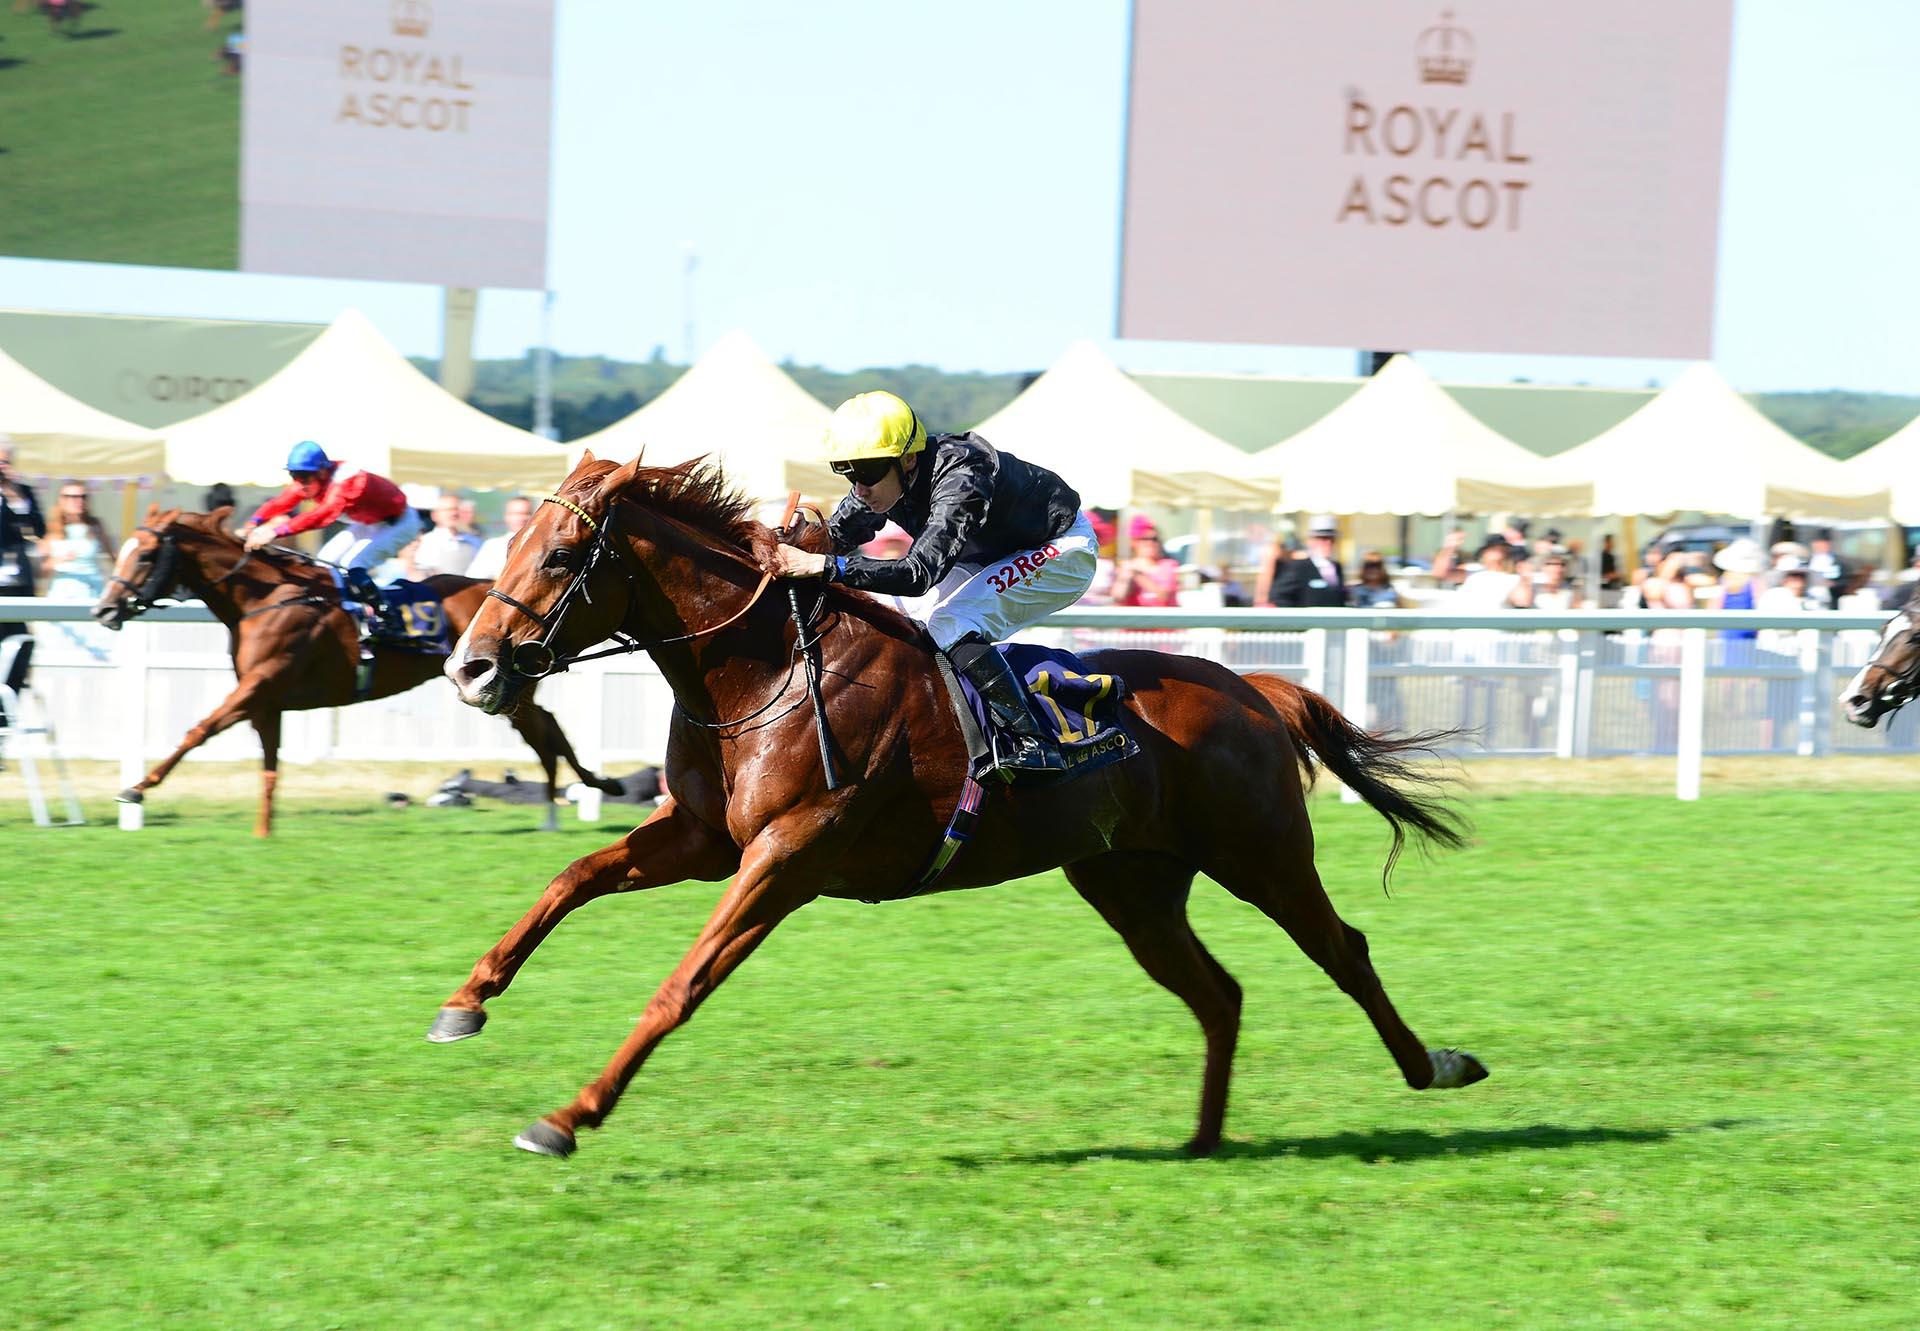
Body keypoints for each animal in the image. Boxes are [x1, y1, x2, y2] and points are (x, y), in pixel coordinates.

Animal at [93, 503, 618, 837]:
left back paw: (578, 795)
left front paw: (135, 789)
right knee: (547, 730)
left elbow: (196, 731)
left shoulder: (258, 686)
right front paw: (264, 831)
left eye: (144, 555)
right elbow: (269, 766)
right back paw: (576, 794)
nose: (104, 610)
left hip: (503, 688)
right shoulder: (266, 699)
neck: (265, 597)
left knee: (546, 733)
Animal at [435, 455, 1482, 1152]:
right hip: (1131, 884)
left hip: (1260, 853)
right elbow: (572, 876)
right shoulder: (702, 837)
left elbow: (680, 985)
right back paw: (1201, 1139)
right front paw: (466, 1002)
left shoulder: (787, 856)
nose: (469, 667)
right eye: (513, 541)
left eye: (562, 554)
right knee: (1217, 991)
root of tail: (1256, 690)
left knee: (1344, 949)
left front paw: (567, 1116)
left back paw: (1435, 1065)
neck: (764, 670)